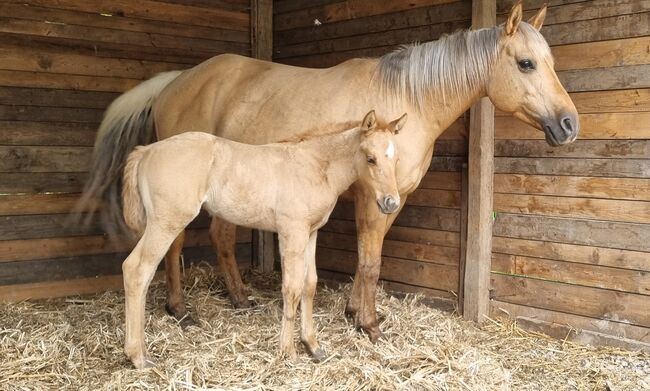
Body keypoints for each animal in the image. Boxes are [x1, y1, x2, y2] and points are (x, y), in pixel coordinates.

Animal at [120, 111, 404, 370]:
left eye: (395, 159)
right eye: (370, 158)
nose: (391, 203)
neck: (313, 166)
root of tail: (147, 150)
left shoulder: (311, 233)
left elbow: (309, 285)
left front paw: (313, 346)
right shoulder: (292, 231)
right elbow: (291, 288)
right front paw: (288, 352)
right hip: (165, 223)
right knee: (137, 270)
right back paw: (138, 357)